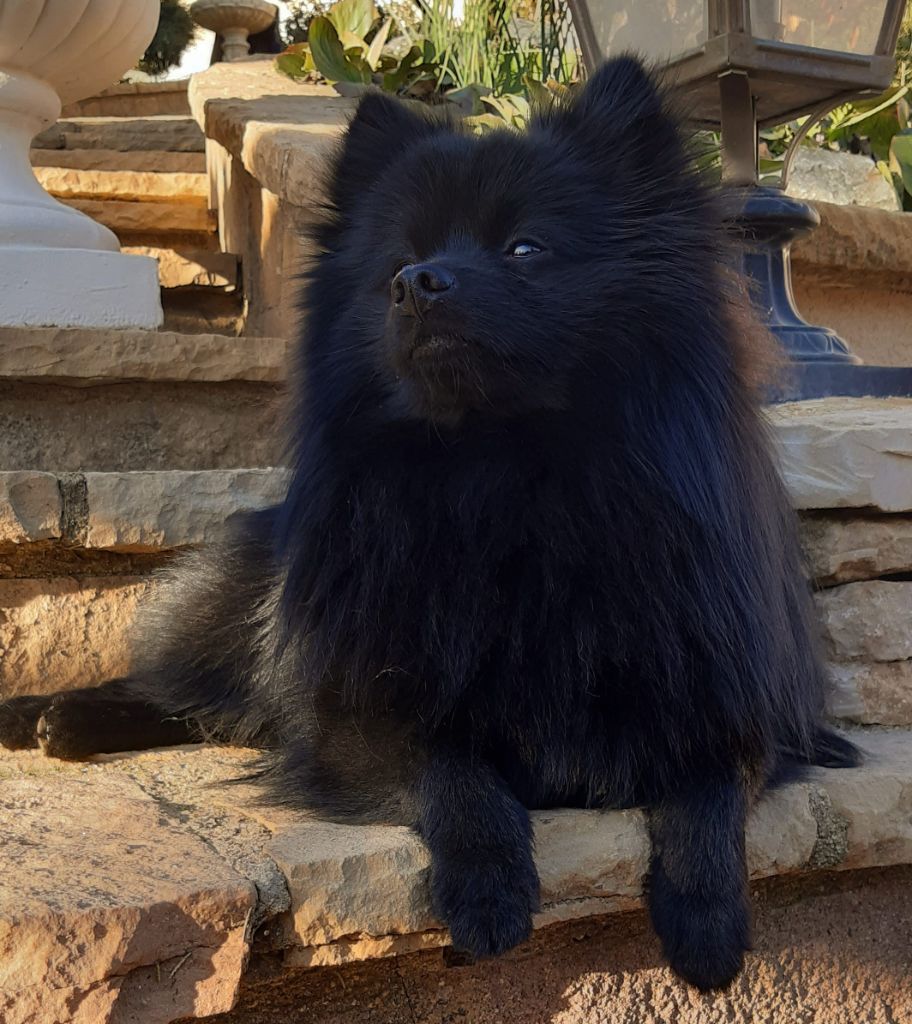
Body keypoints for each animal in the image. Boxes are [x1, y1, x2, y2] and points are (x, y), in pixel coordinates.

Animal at [0, 56, 858, 991]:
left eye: (525, 248)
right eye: (400, 262)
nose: (416, 284)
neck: (505, 478)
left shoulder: (724, 696)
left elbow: (709, 785)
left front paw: (706, 923)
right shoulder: (359, 710)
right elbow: (450, 768)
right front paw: (488, 892)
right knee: (174, 687)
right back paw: (53, 717)